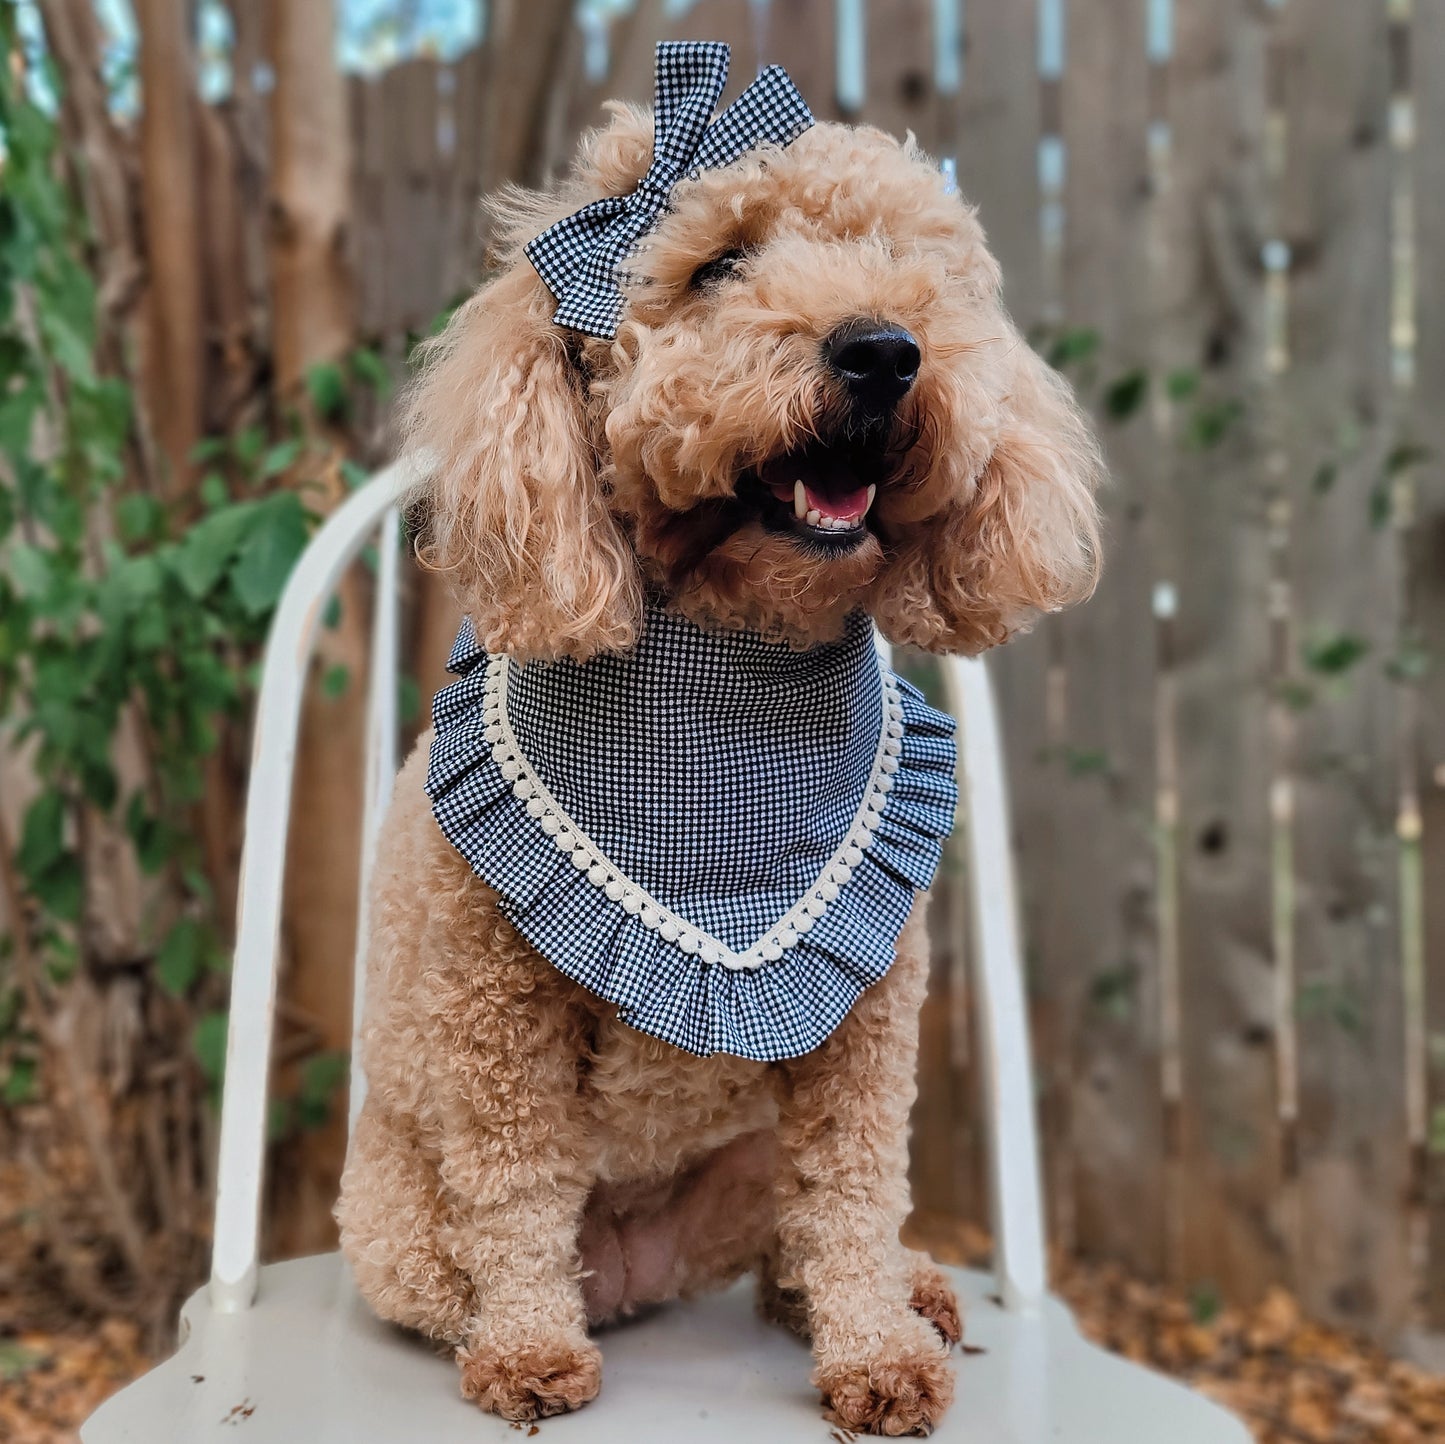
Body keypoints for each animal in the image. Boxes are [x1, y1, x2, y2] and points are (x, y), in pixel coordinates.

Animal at [338, 42, 1098, 1433]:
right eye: (716, 265)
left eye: (905, 266)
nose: (882, 351)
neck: (732, 676)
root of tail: (637, 1268)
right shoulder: (497, 1016)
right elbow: (514, 1188)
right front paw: (527, 1351)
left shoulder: (865, 1026)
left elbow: (852, 1195)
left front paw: (873, 1353)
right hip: (396, 1230)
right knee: (478, 1252)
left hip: (751, 1161)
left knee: (802, 1236)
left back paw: (906, 1293)